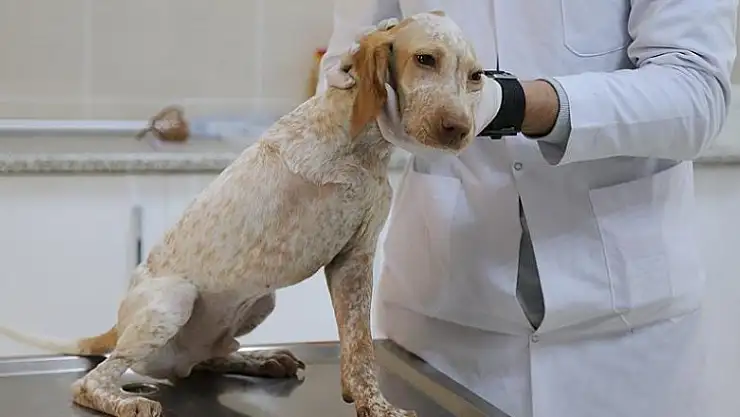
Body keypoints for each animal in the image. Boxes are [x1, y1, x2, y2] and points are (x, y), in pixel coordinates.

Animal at [0, 10, 487, 417]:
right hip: (173, 301)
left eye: (476, 76)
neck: (359, 147)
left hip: (258, 303)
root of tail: (117, 326)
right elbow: (360, 345)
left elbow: (358, 348)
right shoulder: (347, 261)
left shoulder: (356, 257)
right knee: (94, 380)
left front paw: (368, 399)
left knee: (204, 360)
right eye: (425, 59)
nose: (460, 130)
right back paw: (125, 399)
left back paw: (261, 359)